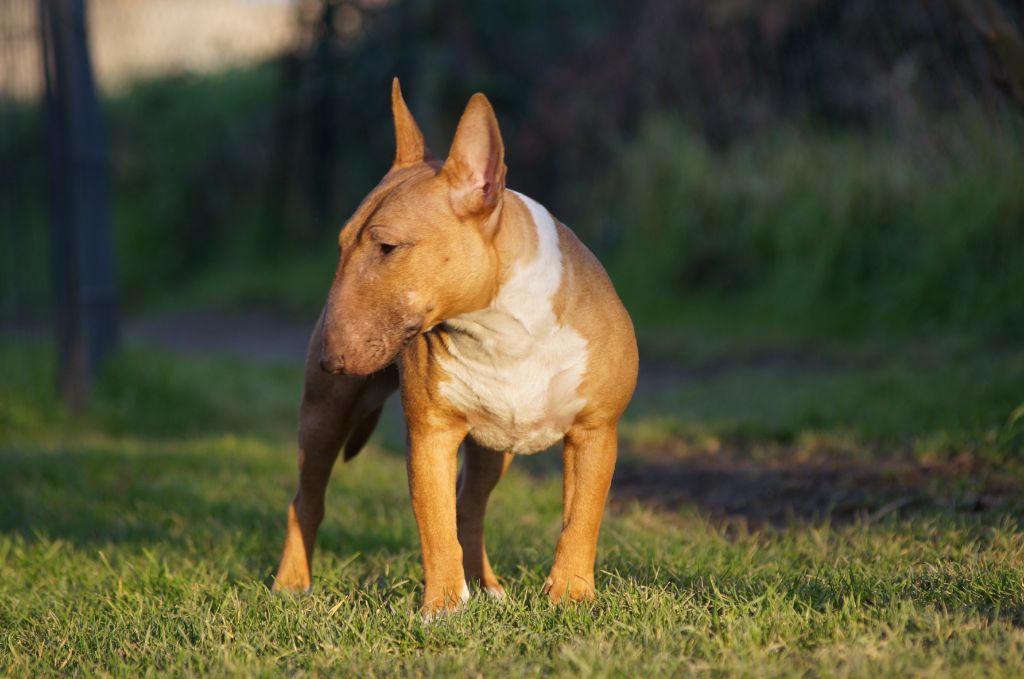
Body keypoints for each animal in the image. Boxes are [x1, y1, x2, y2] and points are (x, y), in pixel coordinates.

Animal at [272, 78, 638, 614]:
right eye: (341, 245)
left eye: (387, 247)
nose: (330, 359)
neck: (501, 328)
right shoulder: (432, 433)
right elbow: (435, 526)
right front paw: (443, 607)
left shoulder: (595, 431)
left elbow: (581, 519)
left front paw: (569, 596)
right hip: (325, 415)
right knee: (307, 498)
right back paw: (291, 584)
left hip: (495, 446)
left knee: (471, 504)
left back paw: (488, 587)